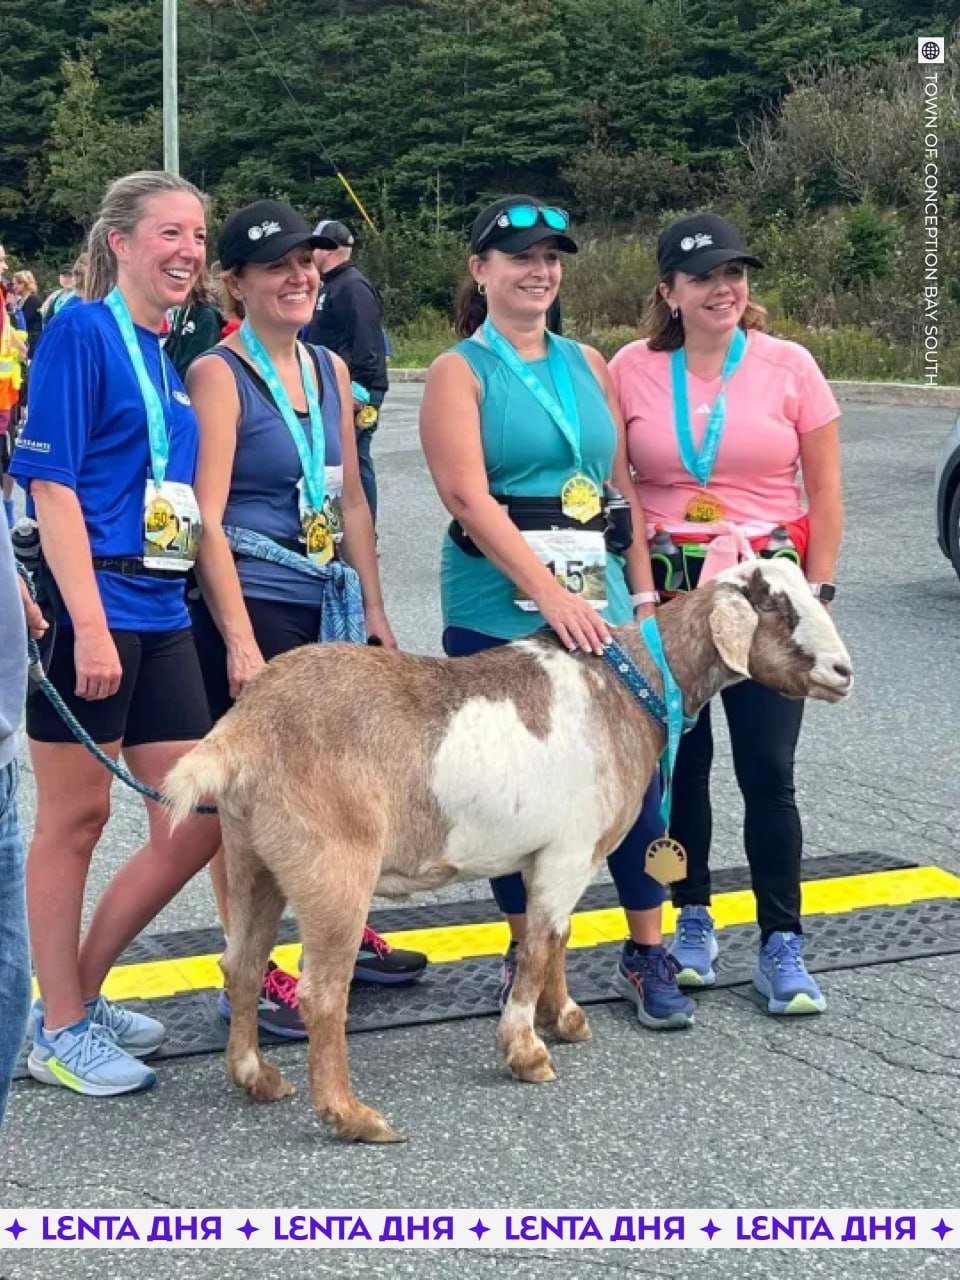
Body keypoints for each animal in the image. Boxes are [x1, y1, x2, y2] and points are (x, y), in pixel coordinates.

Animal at [167, 565, 855, 1146]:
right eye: (778, 608)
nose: (843, 671)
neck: (631, 688)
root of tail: (243, 732)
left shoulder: (548, 855)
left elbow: (556, 937)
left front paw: (564, 1019)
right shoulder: (570, 851)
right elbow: (539, 945)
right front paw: (527, 1050)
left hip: (252, 857)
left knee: (241, 964)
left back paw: (258, 1077)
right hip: (333, 866)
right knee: (321, 993)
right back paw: (354, 1117)